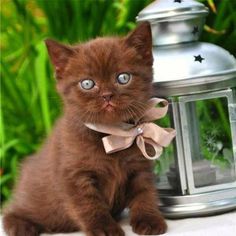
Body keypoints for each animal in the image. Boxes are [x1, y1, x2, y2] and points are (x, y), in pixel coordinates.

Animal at [2, 22, 167, 236]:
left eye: (123, 78)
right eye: (87, 83)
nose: (107, 95)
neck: (111, 135)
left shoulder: (139, 167)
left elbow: (145, 193)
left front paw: (149, 220)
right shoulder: (74, 176)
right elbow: (89, 205)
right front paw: (104, 229)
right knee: (11, 210)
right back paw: (21, 225)